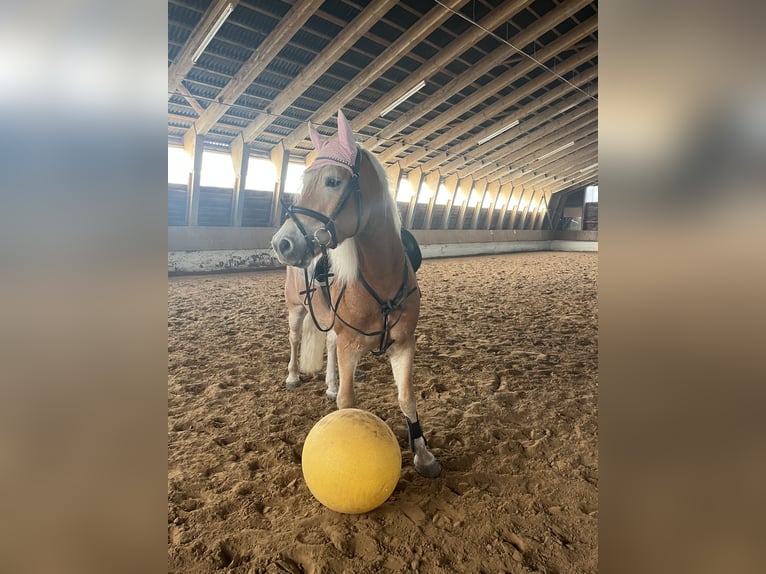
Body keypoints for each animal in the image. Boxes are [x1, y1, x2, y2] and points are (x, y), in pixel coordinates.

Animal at [270, 110, 441, 478]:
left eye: (333, 181)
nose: (282, 243)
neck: (382, 278)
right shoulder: (350, 344)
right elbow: (347, 403)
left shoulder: (404, 344)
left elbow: (407, 397)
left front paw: (423, 454)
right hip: (296, 309)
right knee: (294, 340)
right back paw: (293, 376)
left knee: (330, 345)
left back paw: (330, 382)